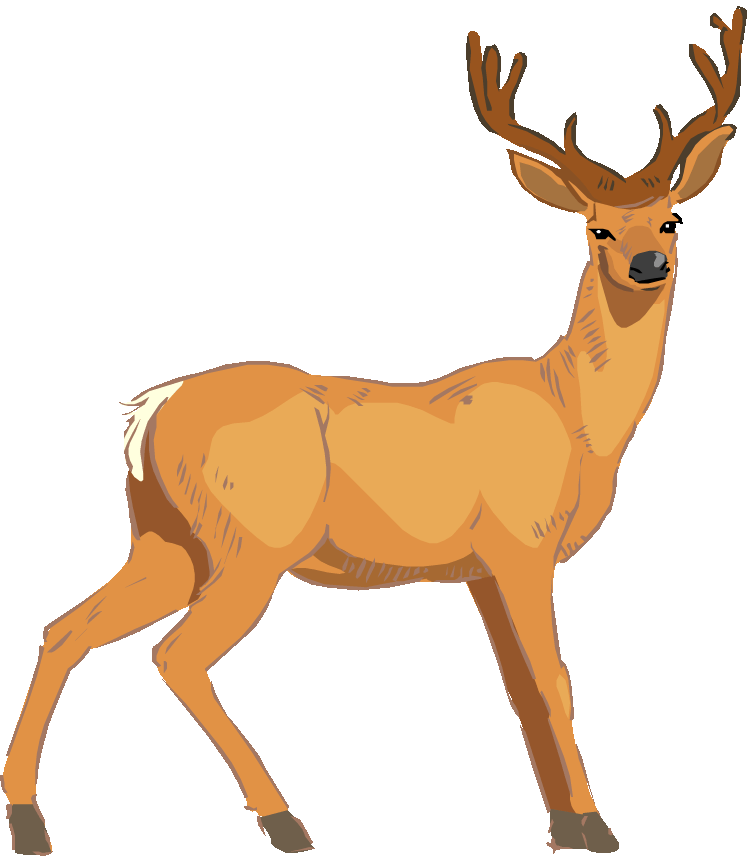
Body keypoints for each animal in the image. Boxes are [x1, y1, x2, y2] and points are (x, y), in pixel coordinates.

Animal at [3, 7, 745, 855]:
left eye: (672, 217)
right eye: (597, 230)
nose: (650, 263)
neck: (577, 417)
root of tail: (152, 407)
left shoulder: (479, 568)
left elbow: (519, 689)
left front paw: (559, 821)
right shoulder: (523, 543)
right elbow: (556, 681)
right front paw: (596, 824)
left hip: (166, 539)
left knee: (65, 628)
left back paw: (30, 819)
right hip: (251, 542)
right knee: (175, 655)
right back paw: (286, 817)